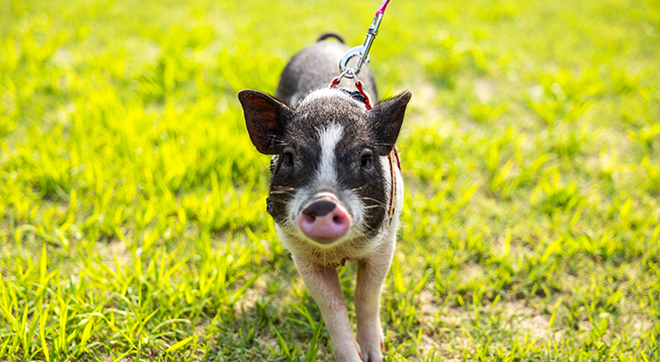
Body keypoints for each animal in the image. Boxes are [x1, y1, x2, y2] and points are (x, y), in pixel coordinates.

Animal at [237, 32, 412, 360]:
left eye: (365, 158)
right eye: (289, 157)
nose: (322, 203)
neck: (340, 251)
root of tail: (325, 42)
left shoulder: (385, 244)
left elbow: (366, 296)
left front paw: (376, 354)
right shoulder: (302, 255)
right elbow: (332, 307)